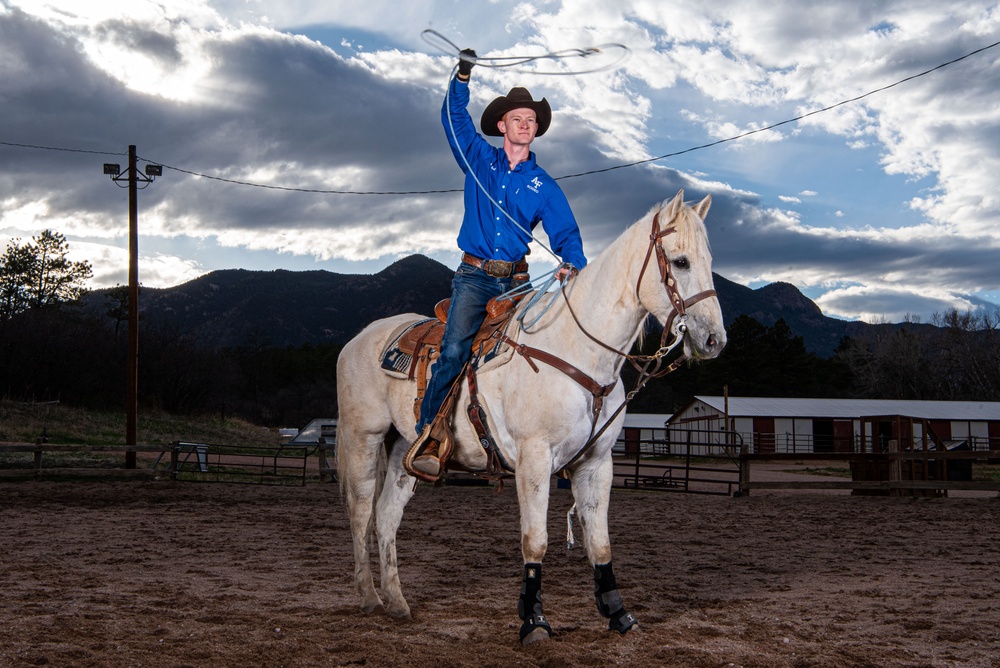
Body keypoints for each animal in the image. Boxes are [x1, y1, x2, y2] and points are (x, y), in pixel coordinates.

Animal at [336, 190, 728, 644]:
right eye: (680, 261)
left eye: (708, 259)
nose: (714, 339)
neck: (578, 351)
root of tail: (358, 339)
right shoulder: (534, 459)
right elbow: (535, 541)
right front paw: (534, 620)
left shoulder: (597, 464)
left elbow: (600, 543)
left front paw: (618, 613)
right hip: (363, 436)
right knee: (361, 512)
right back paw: (369, 596)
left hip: (405, 448)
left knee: (386, 517)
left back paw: (398, 602)